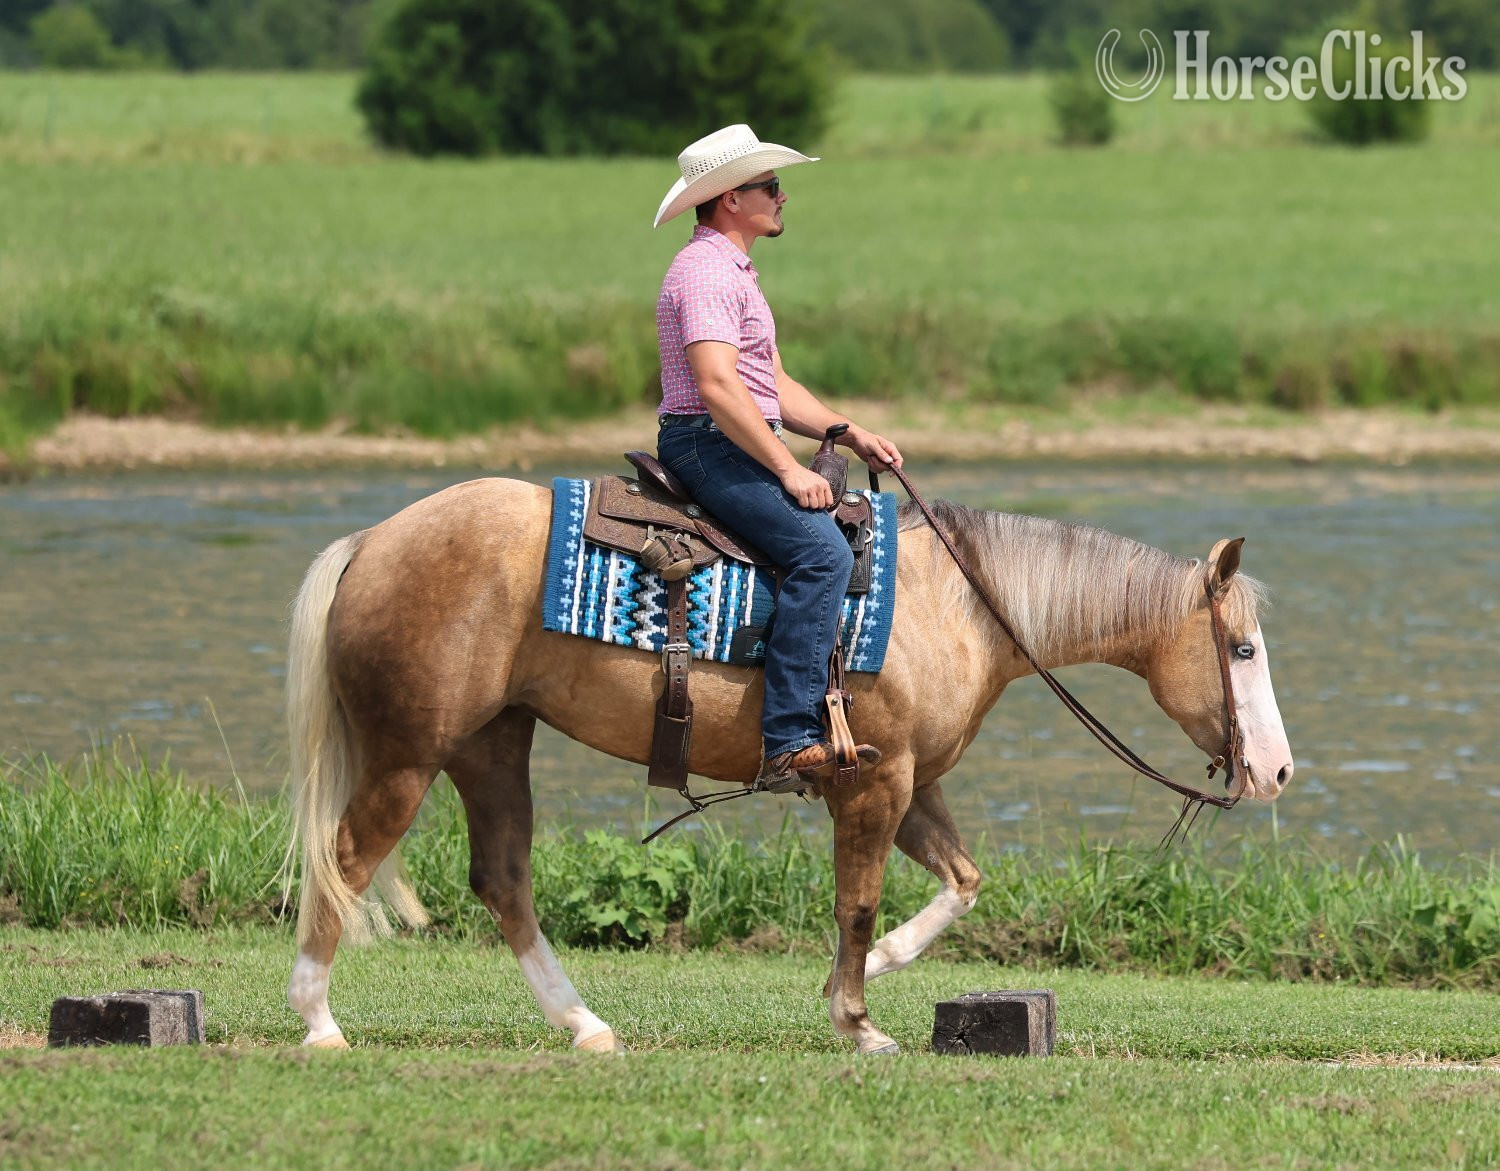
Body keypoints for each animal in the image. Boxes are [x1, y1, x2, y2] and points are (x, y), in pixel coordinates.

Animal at [284, 476, 1294, 1055]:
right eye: (1242, 649)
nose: (1278, 772)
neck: (960, 606)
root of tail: (371, 542)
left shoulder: (911, 782)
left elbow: (962, 881)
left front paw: (874, 971)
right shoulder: (875, 784)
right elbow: (858, 899)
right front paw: (859, 1020)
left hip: (493, 742)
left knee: (502, 880)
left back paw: (585, 1026)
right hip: (409, 754)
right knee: (346, 861)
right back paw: (320, 1022)